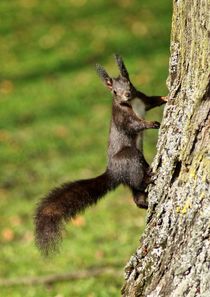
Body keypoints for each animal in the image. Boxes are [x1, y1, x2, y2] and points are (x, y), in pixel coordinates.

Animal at [34, 53, 167, 254]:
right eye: (114, 92)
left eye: (129, 83)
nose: (127, 94)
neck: (131, 103)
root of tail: (113, 172)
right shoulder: (123, 118)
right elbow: (135, 125)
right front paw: (151, 123)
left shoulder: (142, 98)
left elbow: (154, 99)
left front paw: (167, 97)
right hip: (130, 157)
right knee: (138, 181)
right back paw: (150, 179)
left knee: (136, 194)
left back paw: (145, 201)